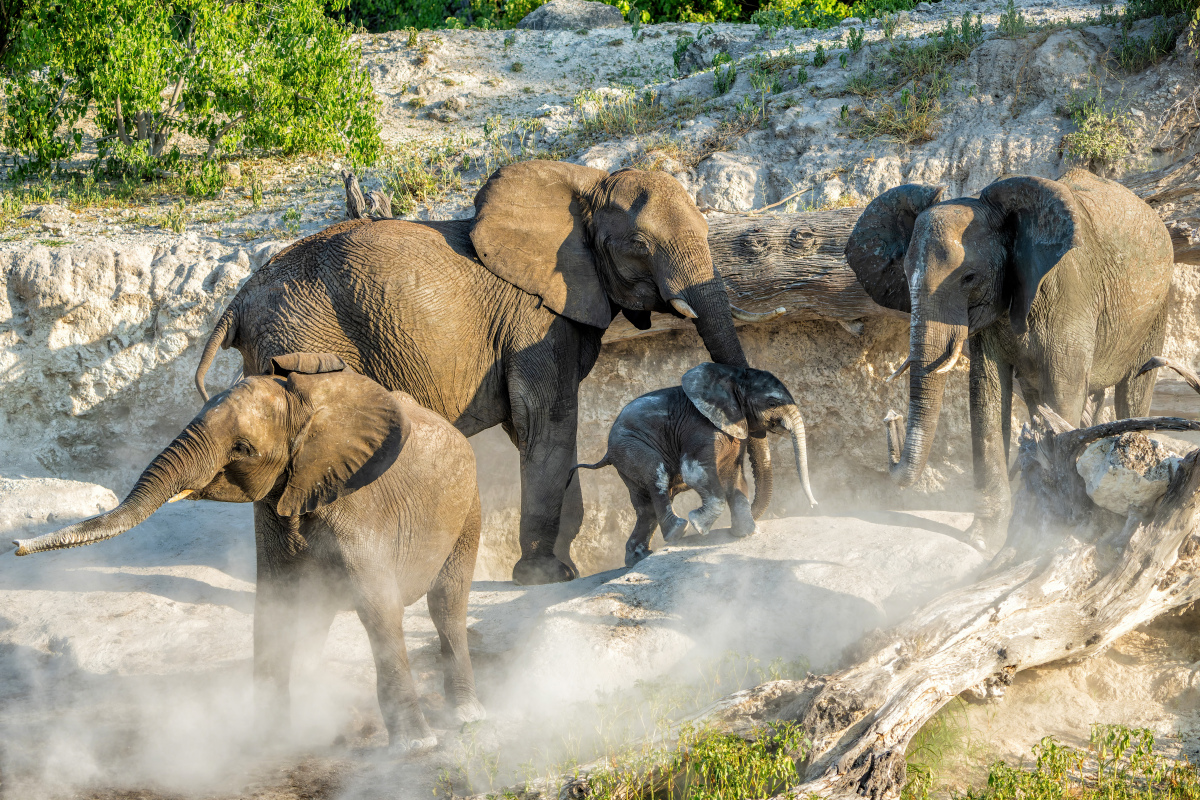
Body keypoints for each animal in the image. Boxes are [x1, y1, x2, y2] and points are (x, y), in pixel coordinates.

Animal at [13, 353, 484, 752]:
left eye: (242, 449)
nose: (16, 547)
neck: (306, 408)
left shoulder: (358, 506)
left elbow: (379, 610)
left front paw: (416, 746)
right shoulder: (276, 506)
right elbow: (275, 606)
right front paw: (270, 742)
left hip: (468, 512)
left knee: (446, 603)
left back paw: (465, 716)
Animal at [193, 159, 783, 585]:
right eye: (638, 246)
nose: (755, 519)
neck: (585, 183)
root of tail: (237, 301)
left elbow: (532, 431)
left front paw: (561, 569)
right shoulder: (535, 318)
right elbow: (547, 423)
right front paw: (546, 577)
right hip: (302, 338)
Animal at [570, 363, 817, 566]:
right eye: (773, 403)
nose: (814, 506)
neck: (731, 376)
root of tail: (608, 451)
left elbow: (734, 476)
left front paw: (744, 533)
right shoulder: (701, 428)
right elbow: (694, 473)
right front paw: (700, 525)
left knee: (645, 507)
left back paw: (638, 558)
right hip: (631, 447)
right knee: (657, 477)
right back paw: (678, 531)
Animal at [845, 169, 1174, 549]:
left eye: (969, 277)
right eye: (903, 273)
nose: (891, 419)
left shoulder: (1071, 296)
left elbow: (1062, 393)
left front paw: (1053, 528)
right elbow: (986, 393)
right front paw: (983, 540)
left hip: (1155, 309)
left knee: (1132, 390)